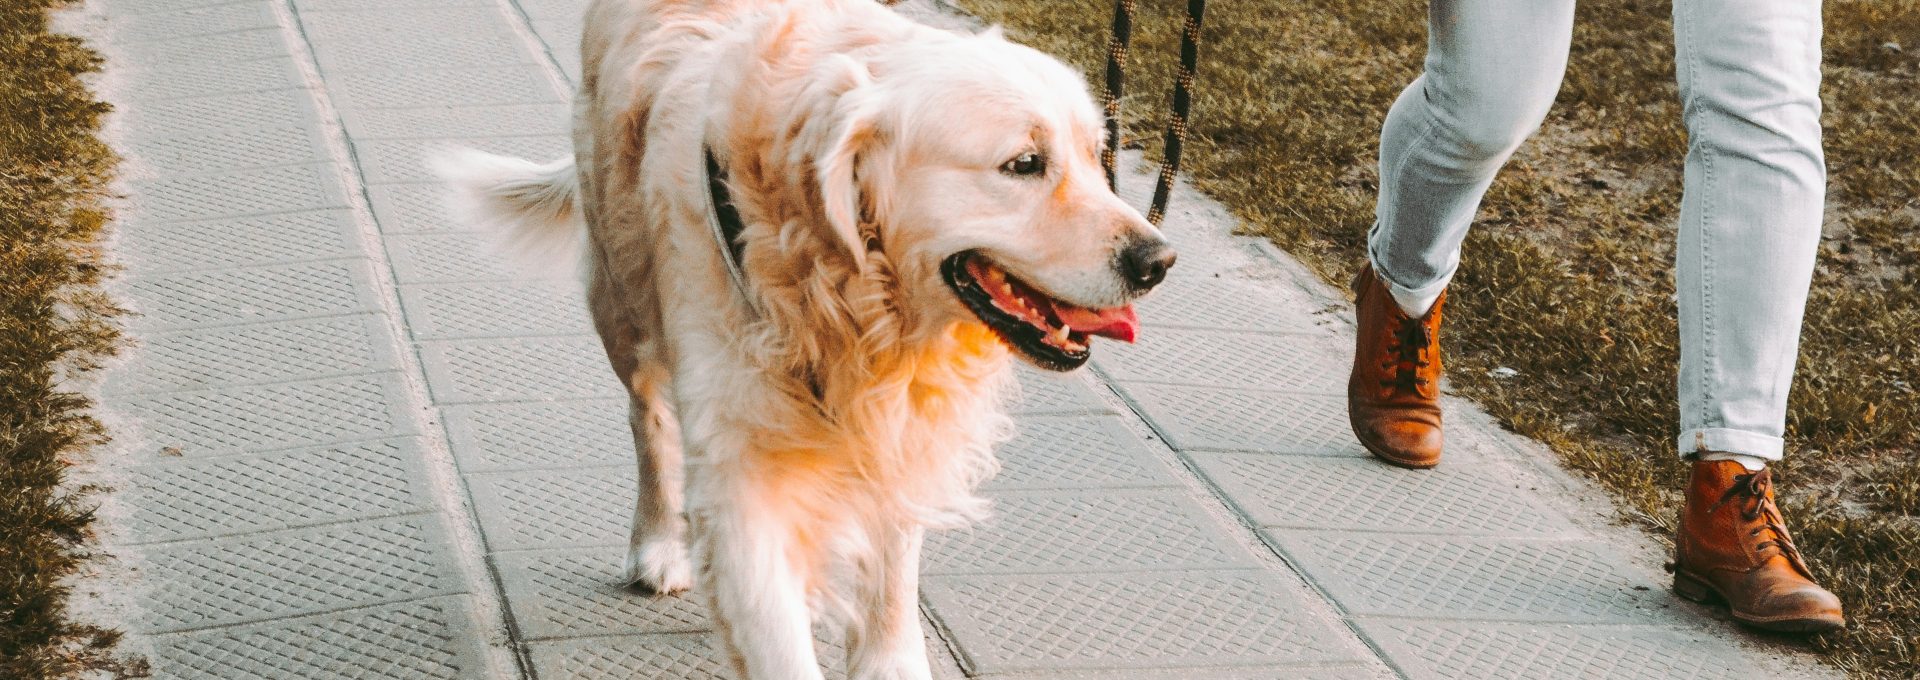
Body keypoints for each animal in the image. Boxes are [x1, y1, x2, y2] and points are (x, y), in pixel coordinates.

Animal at [441, 0, 1175, 676]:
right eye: (1024, 163)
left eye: (1098, 157)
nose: (1159, 261)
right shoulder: (741, 476)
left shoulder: (899, 431)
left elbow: (891, 582)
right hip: (620, 294)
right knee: (647, 417)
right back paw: (657, 544)